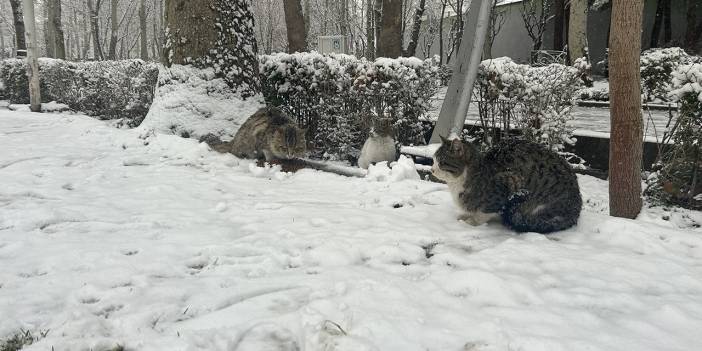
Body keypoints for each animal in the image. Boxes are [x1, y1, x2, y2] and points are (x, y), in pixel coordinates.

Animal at [434, 138, 584, 234]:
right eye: (434, 160)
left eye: (441, 162)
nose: (432, 170)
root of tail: (575, 211)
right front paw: (465, 216)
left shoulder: (508, 182)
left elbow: (484, 213)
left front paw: (472, 221)